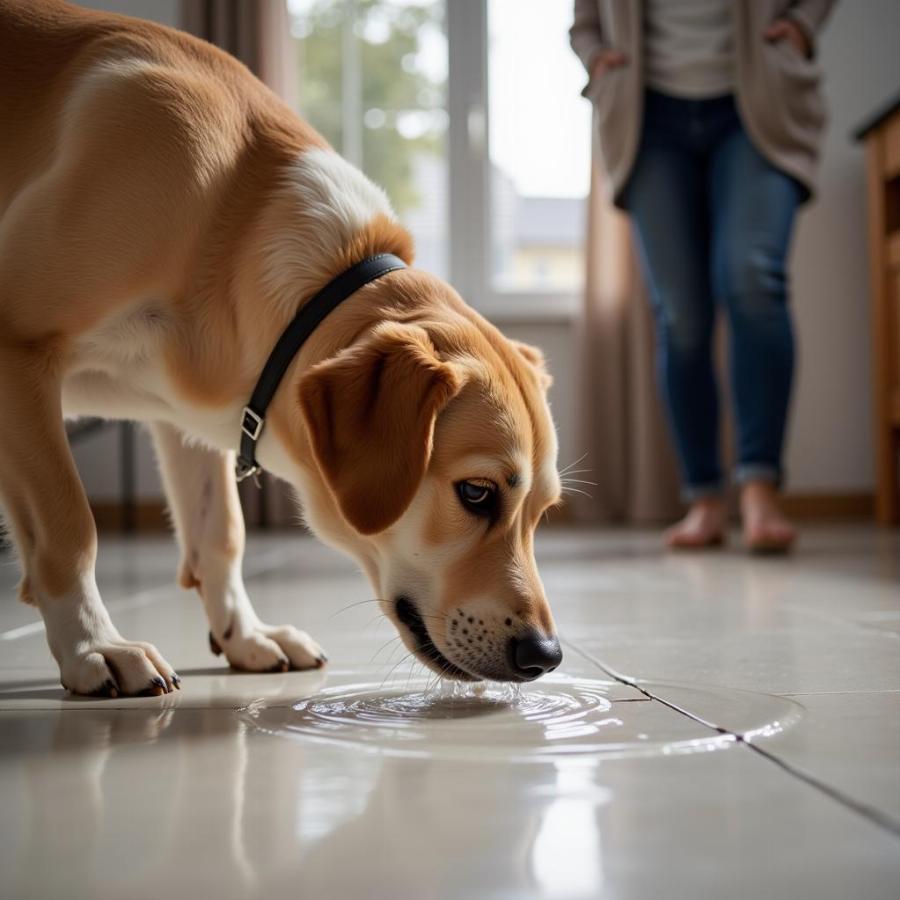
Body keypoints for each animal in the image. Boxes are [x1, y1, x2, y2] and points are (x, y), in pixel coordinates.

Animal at [0, 0, 564, 696]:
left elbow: (221, 532)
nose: (545, 655)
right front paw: (94, 647)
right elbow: (69, 526)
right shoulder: (17, 348)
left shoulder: (181, 413)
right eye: (477, 493)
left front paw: (245, 636)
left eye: (543, 510)